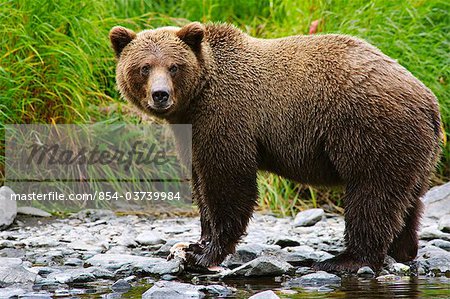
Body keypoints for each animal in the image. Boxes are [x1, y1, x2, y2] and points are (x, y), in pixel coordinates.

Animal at [110, 21, 442, 274]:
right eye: (144, 67)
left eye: (174, 66)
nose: (161, 94)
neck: (196, 99)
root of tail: (429, 100)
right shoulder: (192, 130)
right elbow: (201, 181)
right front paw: (194, 243)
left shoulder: (227, 116)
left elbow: (228, 181)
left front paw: (205, 254)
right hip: (415, 150)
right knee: (408, 199)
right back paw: (403, 249)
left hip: (371, 130)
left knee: (372, 194)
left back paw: (347, 258)